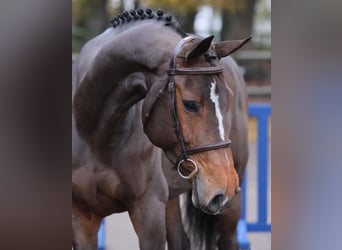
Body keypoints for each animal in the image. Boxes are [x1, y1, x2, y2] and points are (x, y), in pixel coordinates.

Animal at [71, 8, 248, 250]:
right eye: (189, 104)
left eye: (228, 99)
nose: (225, 187)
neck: (93, 135)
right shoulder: (82, 217)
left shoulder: (149, 211)